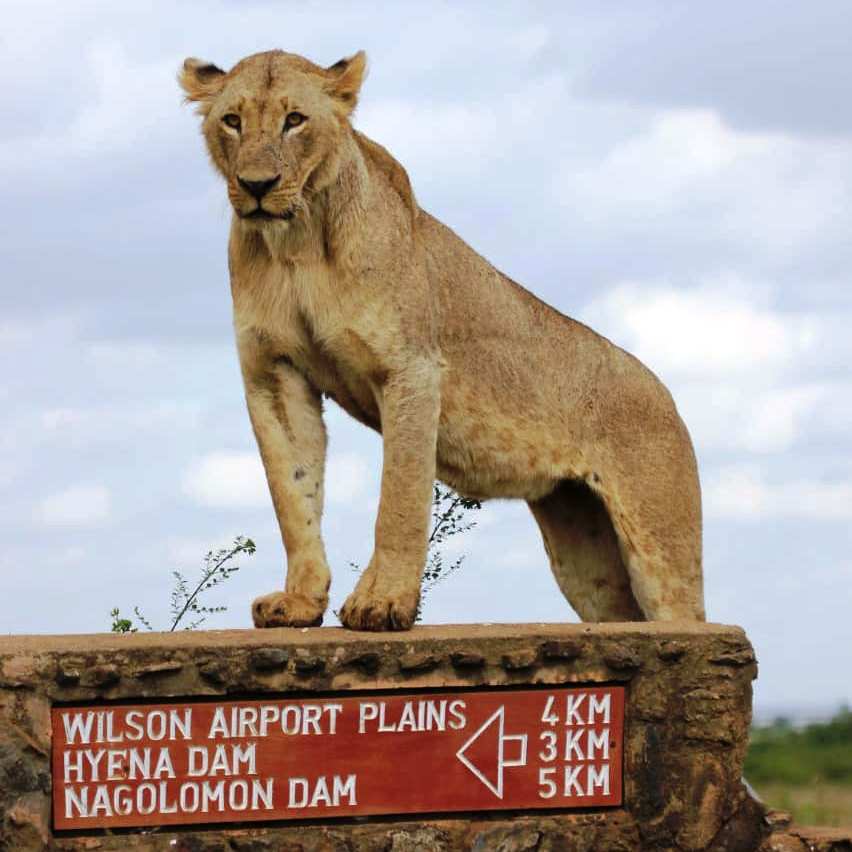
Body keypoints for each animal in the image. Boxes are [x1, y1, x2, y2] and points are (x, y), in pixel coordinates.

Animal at [180, 48, 704, 632]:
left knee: (685, 618)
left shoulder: (411, 368)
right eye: (233, 121)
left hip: (659, 545)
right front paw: (300, 601)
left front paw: (382, 602)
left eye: (295, 120)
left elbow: (400, 494)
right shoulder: (272, 373)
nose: (257, 185)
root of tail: (665, 393)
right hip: (584, 550)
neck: (296, 243)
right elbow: (293, 492)